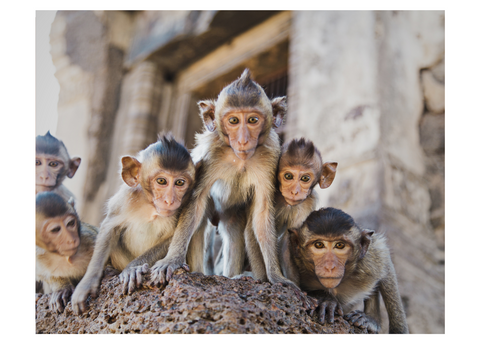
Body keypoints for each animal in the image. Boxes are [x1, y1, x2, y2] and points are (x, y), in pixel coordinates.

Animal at [70, 133, 194, 314]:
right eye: (161, 181)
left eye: (179, 183)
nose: (170, 200)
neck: (151, 207)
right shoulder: (125, 198)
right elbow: (109, 228)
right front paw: (86, 283)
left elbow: (173, 237)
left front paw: (132, 269)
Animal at [280, 207, 410, 332]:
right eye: (319, 245)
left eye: (340, 245)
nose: (330, 266)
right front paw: (326, 300)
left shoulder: (372, 259)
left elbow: (387, 267)